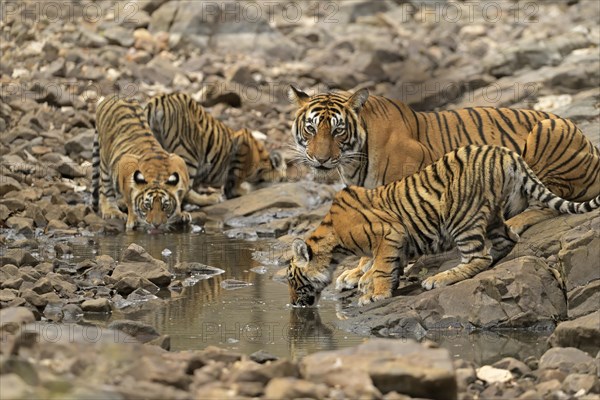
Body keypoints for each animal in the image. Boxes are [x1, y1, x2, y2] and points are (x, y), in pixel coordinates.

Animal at [92, 94, 190, 231]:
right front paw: (132, 220)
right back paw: (112, 211)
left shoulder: (179, 162)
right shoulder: (126, 163)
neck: (158, 176)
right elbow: (130, 199)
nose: (156, 225)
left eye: (165, 206)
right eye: (147, 206)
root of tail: (114, 95)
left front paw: (180, 215)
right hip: (105, 161)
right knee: (105, 188)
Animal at [145, 92, 286, 205]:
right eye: (283, 178)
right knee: (184, 189)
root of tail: (159, 100)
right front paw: (240, 192)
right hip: (188, 154)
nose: (285, 181)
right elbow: (237, 177)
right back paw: (211, 199)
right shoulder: (243, 144)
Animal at [288, 145, 600, 308]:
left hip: (461, 216)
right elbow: (389, 266)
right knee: (504, 241)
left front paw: (375, 293)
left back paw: (438, 279)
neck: (333, 241)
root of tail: (505, 153)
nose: (293, 303)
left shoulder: (389, 234)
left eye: (292, 279)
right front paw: (375, 286)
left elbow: (382, 266)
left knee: (478, 258)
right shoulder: (398, 241)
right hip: (493, 215)